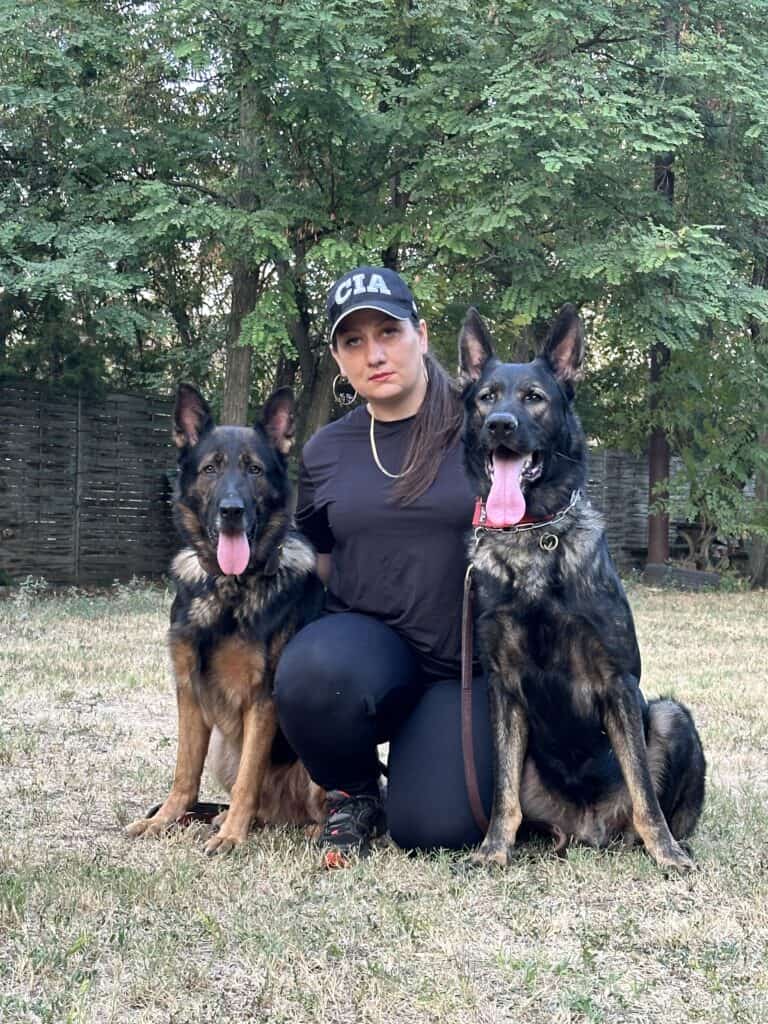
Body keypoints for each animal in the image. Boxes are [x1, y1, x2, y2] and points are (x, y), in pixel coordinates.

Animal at [128, 385, 325, 856]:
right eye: (211, 469)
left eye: (254, 469)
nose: (231, 510)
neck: (228, 588)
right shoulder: (188, 692)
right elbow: (184, 773)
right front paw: (164, 820)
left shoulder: (262, 699)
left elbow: (248, 781)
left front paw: (232, 835)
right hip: (223, 747)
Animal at [460, 305, 708, 872]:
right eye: (486, 397)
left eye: (534, 397)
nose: (500, 424)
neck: (533, 539)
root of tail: (587, 830)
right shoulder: (503, 689)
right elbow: (502, 794)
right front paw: (493, 850)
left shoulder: (618, 682)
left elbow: (644, 792)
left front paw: (667, 854)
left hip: (670, 716)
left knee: (656, 800)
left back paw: (668, 842)